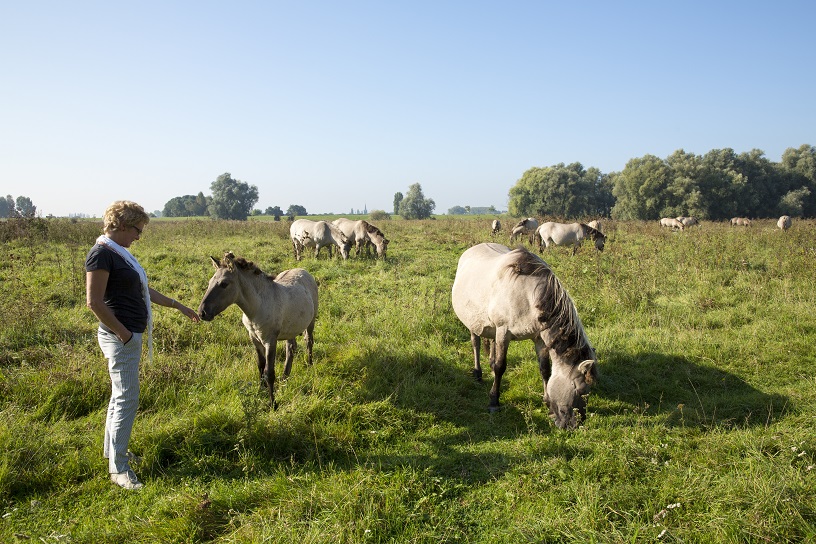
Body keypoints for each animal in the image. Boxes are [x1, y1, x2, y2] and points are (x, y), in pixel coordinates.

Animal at [198, 252, 318, 408]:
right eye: (209, 283)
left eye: (224, 284)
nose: (202, 313)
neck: (258, 306)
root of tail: (303, 270)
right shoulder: (254, 338)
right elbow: (260, 366)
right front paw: (261, 390)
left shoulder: (270, 341)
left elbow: (269, 372)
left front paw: (273, 403)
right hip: (291, 328)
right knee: (291, 348)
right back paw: (285, 377)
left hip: (311, 321)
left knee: (309, 341)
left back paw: (309, 365)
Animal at [451, 243, 598, 429]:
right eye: (580, 390)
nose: (574, 425)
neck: (527, 296)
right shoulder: (503, 332)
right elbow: (500, 367)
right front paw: (494, 401)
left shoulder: (539, 338)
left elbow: (545, 369)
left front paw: (547, 402)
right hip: (473, 322)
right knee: (475, 343)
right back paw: (478, 373)